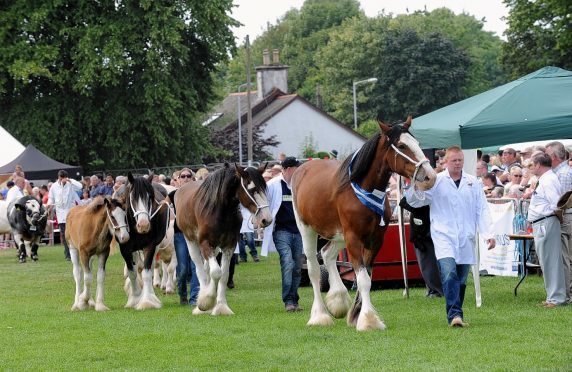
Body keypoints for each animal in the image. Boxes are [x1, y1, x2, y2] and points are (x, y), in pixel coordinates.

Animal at [117, 173, 169, 310]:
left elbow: (147, 272)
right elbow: (132, 273)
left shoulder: (150, 246)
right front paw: (134, 298)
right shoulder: (125, 249)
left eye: (150, 197)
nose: (144, 225)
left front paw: (147, 300)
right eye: (132, 197)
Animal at [174, 164, 272, 316]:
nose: (266, 219)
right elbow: (216, 272)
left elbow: (224, 275)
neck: (219, 211)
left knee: (207, 268)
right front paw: (206, 301)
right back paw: (201, 303)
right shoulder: (205, 243)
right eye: (252, 189)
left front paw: (221, 306)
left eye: (264, 188)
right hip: (191, 241)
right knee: (200, 269)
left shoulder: (229, 245)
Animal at [292, 117, 436, 332]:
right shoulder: (353, 238)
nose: (430, 177)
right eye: (402, 145)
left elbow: (366, 276)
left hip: (338, 235)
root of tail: (301, 170)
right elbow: (362, 279)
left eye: (417, 143)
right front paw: (368, 320)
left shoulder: (374, 240)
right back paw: (319, 316)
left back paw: (338, 300)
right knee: (314, 269)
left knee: (327, 254)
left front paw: (356, 315)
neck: (360, 190)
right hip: (308, 230)